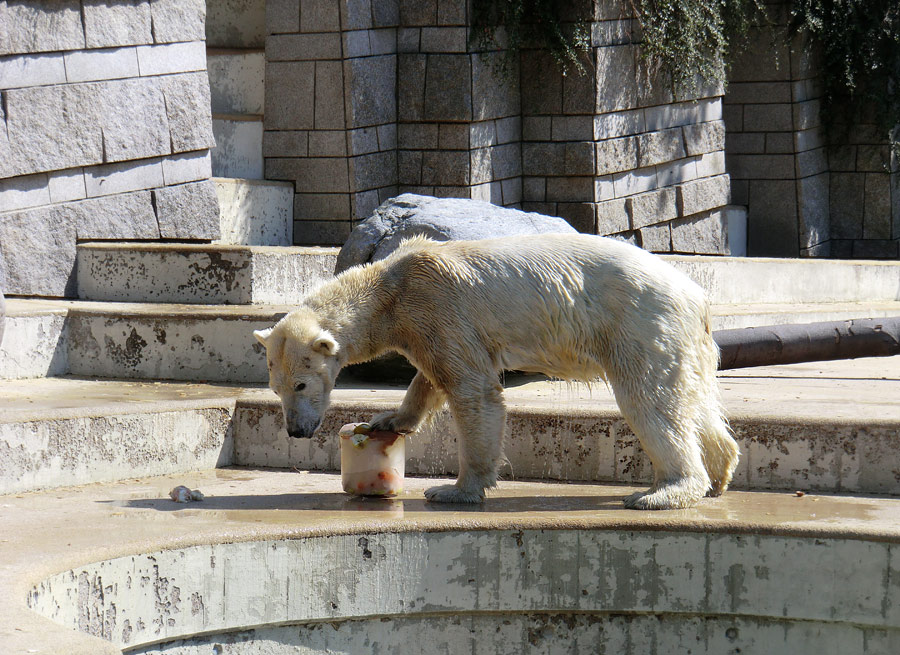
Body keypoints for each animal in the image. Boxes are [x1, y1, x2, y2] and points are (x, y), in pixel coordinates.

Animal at [253, 236, 740, 512]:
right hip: (684, 339)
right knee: (689, 399)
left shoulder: (437, 304)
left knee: (649, 399)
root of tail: (697, 295)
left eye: (301, 384)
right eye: (276, 388)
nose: (296, 431)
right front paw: (388, 419)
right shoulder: (426, 324)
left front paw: (454, 491)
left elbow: (472, 389)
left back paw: (661, 493)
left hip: (639, 322)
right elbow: (430, 378)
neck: (390, 287)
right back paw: (718, 473)